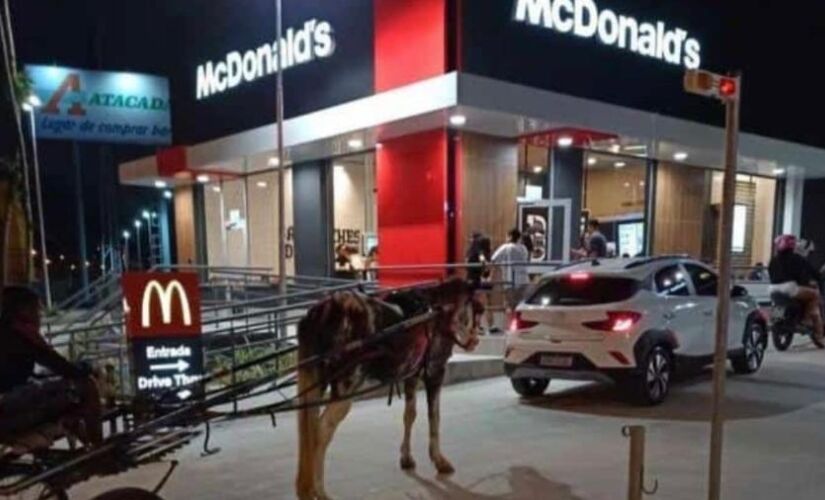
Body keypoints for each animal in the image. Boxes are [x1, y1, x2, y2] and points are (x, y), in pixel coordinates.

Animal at [294, 278, 482, 500]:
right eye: (477, 309)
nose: (475, 341)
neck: (441, 310)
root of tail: (321, 311)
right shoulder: (435, 370)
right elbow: (434, 417)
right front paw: (439, 460)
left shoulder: (411, 374)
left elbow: (409, 415)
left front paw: (406, 458)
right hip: (346, 386)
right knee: (322, 430)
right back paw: (320, 490)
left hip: (315, 381)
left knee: (309, 427)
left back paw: (306, 488)